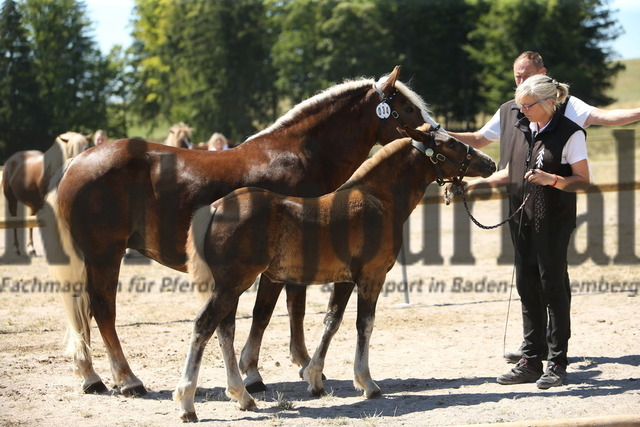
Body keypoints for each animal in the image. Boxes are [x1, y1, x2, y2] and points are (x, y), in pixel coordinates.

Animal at [38, 66, 440, 397]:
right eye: (406, 108)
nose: (434, 134)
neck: (298, 155)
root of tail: (75, 163)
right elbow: (269, 312)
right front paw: (257, 373)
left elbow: (290, 309)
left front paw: (299, 365)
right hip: (106, 255)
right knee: (103, 310)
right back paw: (128, 379)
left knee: (86, 312)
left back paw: (92, 377)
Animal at [174, 124, 496, 421]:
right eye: (450, 143)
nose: (489, 163)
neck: (379, 198)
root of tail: (215, 208)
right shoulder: (372, 276)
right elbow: (364, 324)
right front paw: (367, 383)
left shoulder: (345, 280)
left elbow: (332, 321)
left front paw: (314, 379)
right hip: (232, 284)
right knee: (204, 326)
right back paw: (188, 403)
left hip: (228, 286)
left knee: (224, 330)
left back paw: (243, 396)